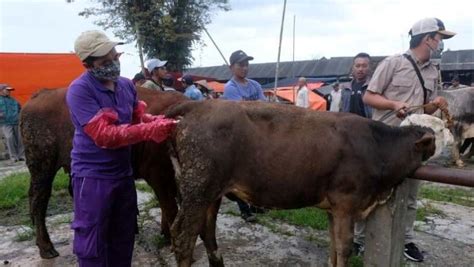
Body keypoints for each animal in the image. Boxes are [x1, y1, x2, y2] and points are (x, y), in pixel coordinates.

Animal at [19, 87, 187, 260]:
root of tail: (40, 94)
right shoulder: (157, 174)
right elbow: (170, 207)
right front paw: (171, 239)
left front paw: (166, 234)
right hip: (42, 165)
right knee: (39, 200)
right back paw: (46, 247)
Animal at [165, 101, 436, 267]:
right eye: (439, 132)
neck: (378, 146)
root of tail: (201, 104)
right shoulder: (346, 202)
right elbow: (344, 247)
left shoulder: (333, 208)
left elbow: (333, 245)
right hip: (197, 189)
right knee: (183, 235)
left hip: (210, 192)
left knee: (206, 230)